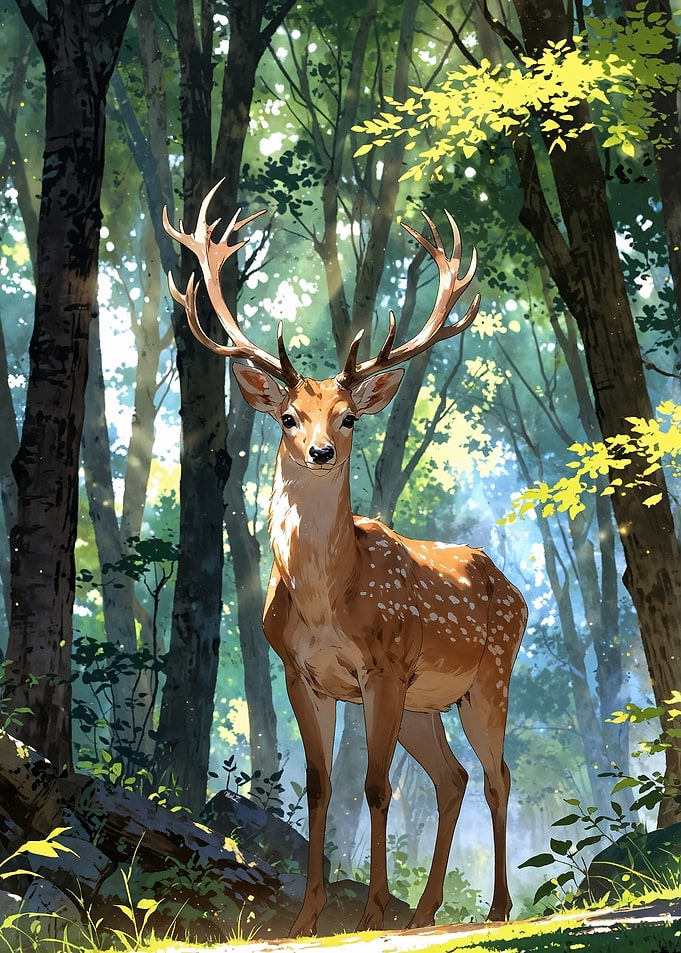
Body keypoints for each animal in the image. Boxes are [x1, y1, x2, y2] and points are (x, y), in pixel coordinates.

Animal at [163, 181, 528, 936]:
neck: (327, 600)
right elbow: (320, 784)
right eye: (288, 417)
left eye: (349, 415)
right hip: (425, 701)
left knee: (497, 773)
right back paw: (426, 909)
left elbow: (375, 784)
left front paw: (371, 909)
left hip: (489, 675)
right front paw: (307, 916)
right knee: (452, 777)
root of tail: (515, 589)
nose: (321, 451)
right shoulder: (300, 671)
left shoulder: (382, 664)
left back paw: (498, 905)